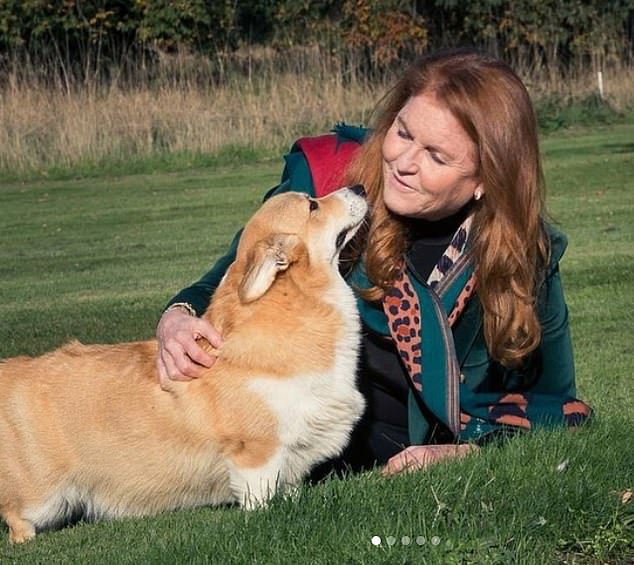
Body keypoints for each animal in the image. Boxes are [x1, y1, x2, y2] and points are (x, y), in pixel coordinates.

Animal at [0, 185, 366, 540]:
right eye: (312, 206)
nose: (361, 188)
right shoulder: (256, 452)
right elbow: (261, 495)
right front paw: (265, 517)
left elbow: (287, 489)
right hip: (43, 497)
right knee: (16, 516)